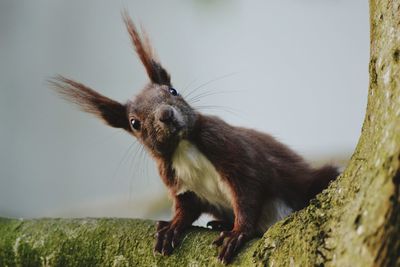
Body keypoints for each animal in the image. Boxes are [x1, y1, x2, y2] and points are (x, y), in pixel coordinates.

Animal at [49, 12, 338, 264]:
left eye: (172, 90)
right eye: (134, 123)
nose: (166, 114)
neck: (183, 148)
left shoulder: (232, 151)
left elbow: (248, 192)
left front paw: (238, 233)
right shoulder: (176, 181)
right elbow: (186, 207)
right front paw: (172, 227)